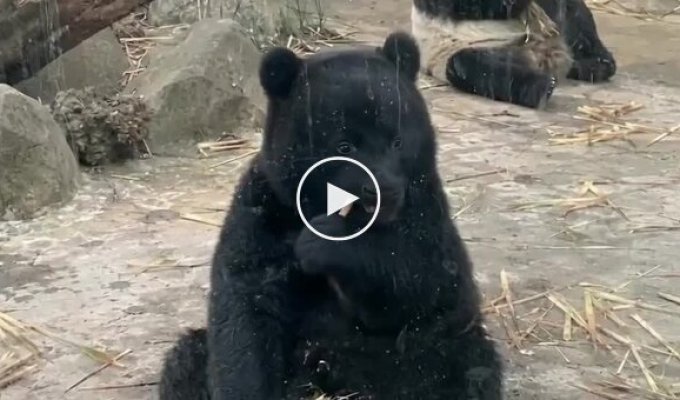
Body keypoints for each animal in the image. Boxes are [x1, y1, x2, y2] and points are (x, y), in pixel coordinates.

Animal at [158, 31, 503, 400]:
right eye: (344, 146)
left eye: (397, 142)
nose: (382, 191)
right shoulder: (266, 208)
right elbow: (247, 303)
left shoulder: (423, 204)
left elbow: (432, 281)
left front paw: (329, 244)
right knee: (186, 361)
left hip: (421, 357)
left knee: (463, 366)